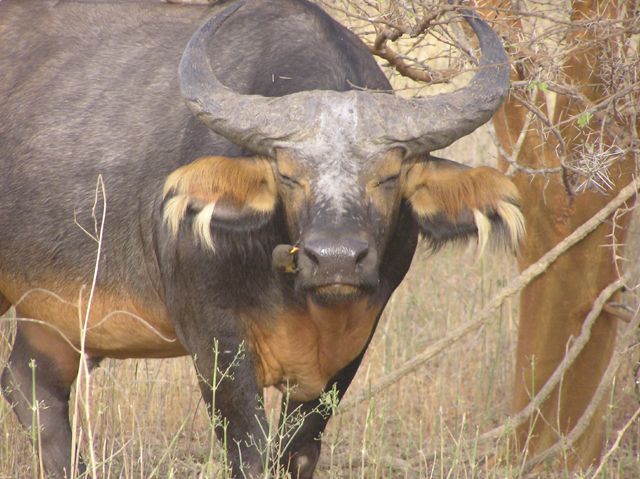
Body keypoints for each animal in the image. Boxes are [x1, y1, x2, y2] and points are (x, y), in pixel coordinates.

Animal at [0, 0, 524, 478]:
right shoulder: (215, 344)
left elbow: (297, 451)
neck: (298, 299)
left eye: (389, 175)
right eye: (287, 174)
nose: (335, 259)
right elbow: (249, 451)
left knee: (31, 388)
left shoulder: (349, 347)